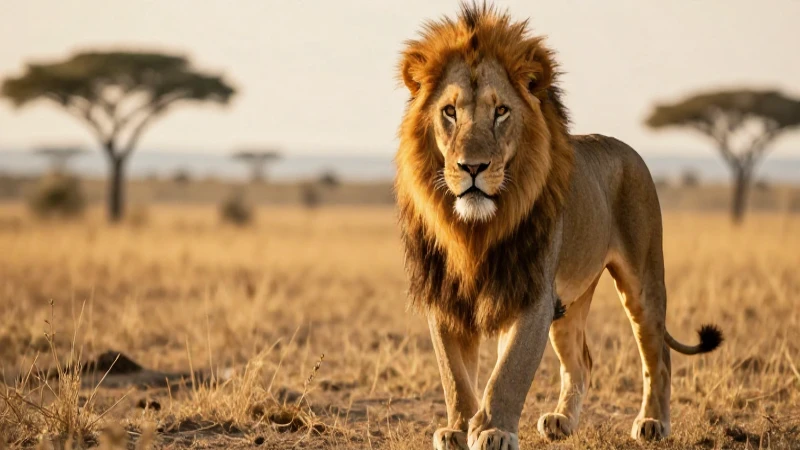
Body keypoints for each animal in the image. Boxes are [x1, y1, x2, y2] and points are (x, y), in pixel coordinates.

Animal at [394, 4, 723, 449]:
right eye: (450, 111)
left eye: (501, 111)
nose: (472, 167)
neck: (474, 231)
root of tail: (628, 149)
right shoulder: (446, 295)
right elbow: (455, 376)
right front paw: (459, 428)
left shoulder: (531, 292)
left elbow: (509, 371)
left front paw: (494, 429)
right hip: (570, 304)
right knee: (581, 360)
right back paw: (561, 421)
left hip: (643, 280)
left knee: (658, 354)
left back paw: (653, 422)